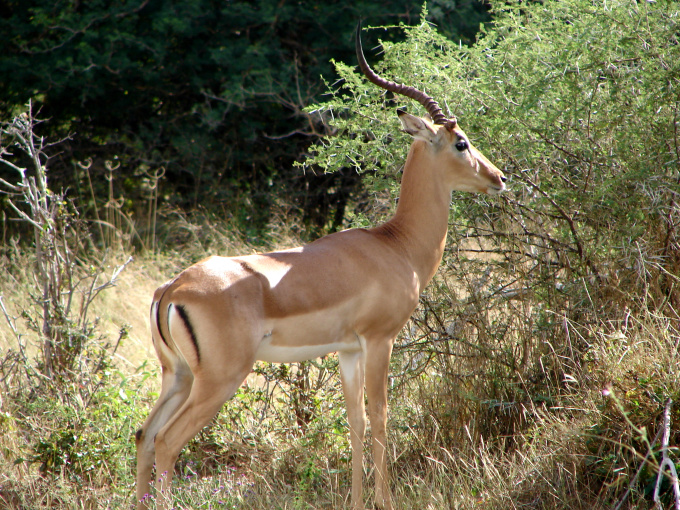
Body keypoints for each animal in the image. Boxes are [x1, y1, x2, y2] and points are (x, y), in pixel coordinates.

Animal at [135, 23, 504, 510]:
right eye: (461, 143)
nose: (499, 178)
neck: (396, 244)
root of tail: (173, 289)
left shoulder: (347, 350)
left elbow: (356, 422)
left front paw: (357, 501)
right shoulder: (379, 340)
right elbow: (381, 417)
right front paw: (385, 501)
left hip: (176, 375)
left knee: (144, 435)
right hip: (218, 380)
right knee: (168, 442)